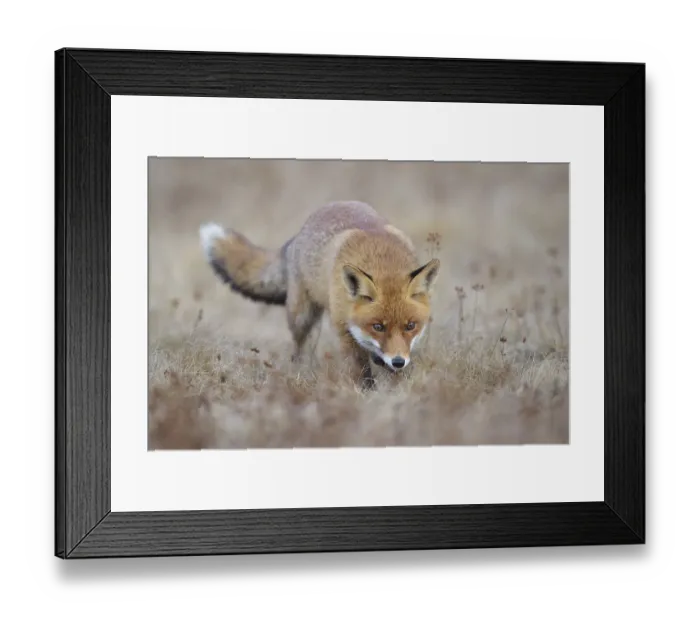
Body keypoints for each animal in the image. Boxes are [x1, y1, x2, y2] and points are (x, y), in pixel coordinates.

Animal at [199, 200, 440, 389]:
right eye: (378, 326)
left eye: (411, 326)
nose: (398, 361)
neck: (382, 260)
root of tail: (297, 236)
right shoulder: (344, 330)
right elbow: (361, 372)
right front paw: (367, 395)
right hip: (303, 319)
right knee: (299, 353)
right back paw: (301, 376)